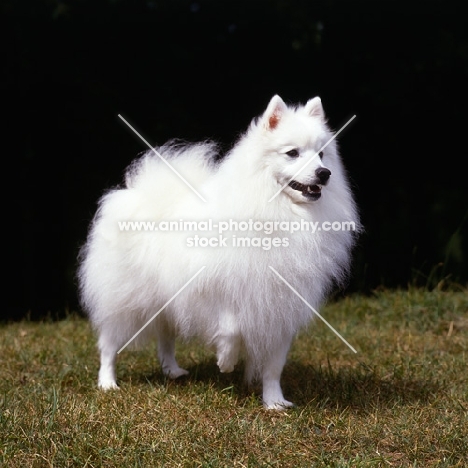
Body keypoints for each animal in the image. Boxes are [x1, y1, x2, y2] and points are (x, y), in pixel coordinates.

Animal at [78, 96, 360, 410]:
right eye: (292, 153)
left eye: (321, 154)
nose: (324, 173)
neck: (281, 212)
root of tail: (141, 192)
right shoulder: (211, 289)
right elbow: (230, 327)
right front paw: (226, 360)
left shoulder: (280, 308)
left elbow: (273, 366)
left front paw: (274, 402)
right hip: (125, 299)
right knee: (109, 345)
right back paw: (107, 383)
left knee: (165, 337)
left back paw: (171, 369)